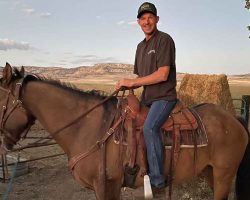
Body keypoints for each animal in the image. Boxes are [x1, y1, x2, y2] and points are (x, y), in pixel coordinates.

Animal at [0, 63, 249, 200]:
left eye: (0, 99)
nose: (5, 140)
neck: (88, 127)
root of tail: (234, 119)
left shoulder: (105, 186)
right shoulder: (111, 187)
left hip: (224, 175)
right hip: (211, 173)